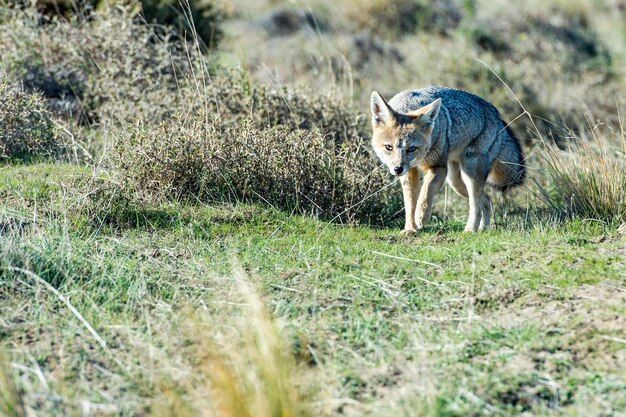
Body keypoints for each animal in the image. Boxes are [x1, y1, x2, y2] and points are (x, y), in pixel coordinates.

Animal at [370, 86, 520, 232]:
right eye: (389, 147)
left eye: (411, 148)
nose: (398, 169)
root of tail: (497, 113)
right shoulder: (410, 171)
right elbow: (410, 203)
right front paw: (410, 228)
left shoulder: (438, 167)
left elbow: (425, 193)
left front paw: (421, 216)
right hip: (456, 183)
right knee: (486, 199)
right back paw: (483, 228)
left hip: (468, 174)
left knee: (475, 204)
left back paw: (470, 229)